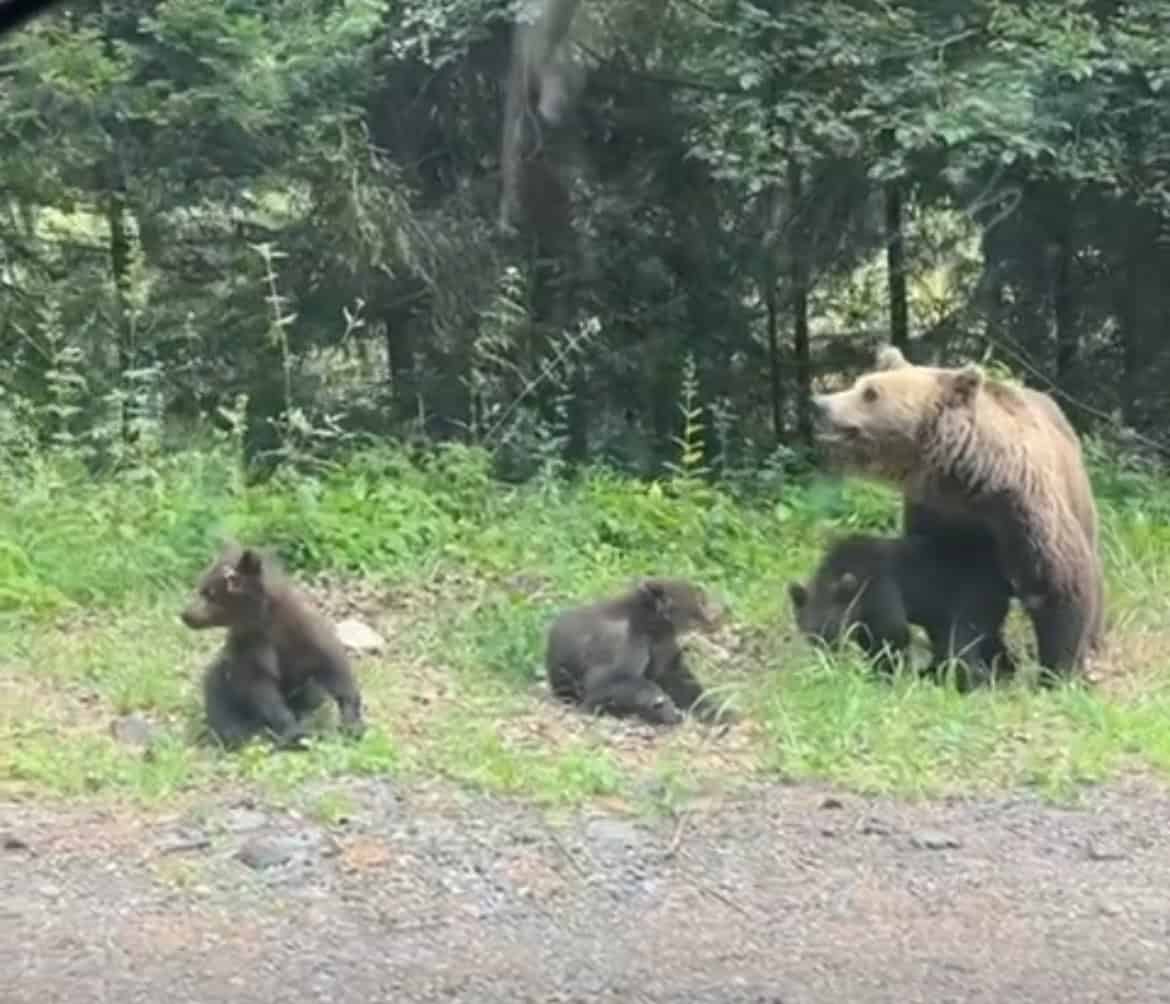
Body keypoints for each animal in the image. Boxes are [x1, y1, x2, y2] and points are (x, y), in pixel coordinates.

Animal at [809, 346, 1099, 678]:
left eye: (871, 392)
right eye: (860, 381)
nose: (819, 405)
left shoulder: (1021, 507)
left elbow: (1058, 579)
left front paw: (1058, 670)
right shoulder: (935, 511)